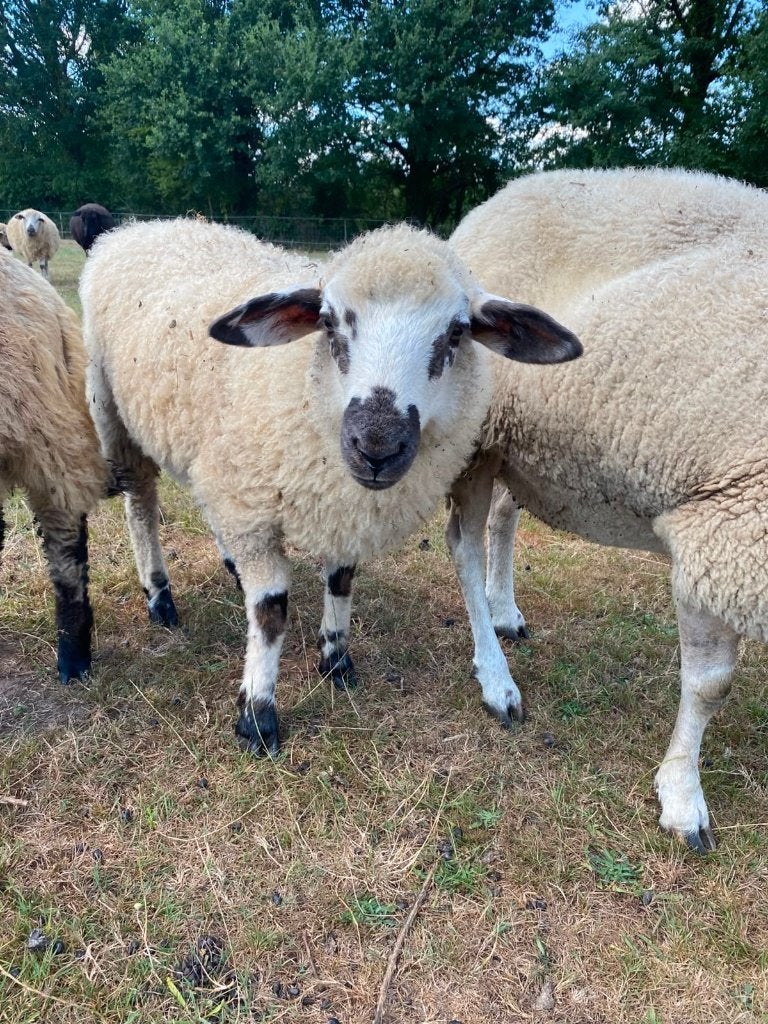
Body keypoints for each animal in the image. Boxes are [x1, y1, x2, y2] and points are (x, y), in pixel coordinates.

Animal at [80, 217, 581, 755]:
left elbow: (341, 580)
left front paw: (336, 661)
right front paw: (258, 715)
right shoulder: (252, 509)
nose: (376, 447)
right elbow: (270, 611)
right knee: (140, 505)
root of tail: (140, 227)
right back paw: (159, 597)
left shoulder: (328, 507)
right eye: (330, 322)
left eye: (456, 332)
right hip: (113, 414)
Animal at [447, 166, 768, 852]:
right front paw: (683, 794)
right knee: (463, 543)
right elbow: (711, 683)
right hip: (478, 433)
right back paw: (495, 675)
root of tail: (490, 205)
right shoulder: (722, 525)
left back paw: (504, 609)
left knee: (502, 518)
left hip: (521, 441)